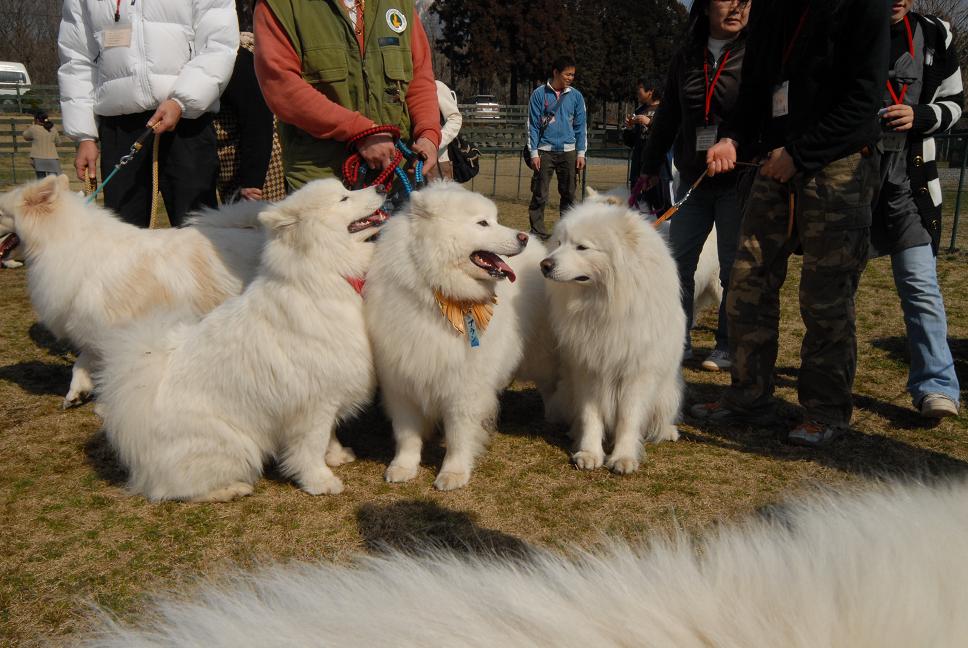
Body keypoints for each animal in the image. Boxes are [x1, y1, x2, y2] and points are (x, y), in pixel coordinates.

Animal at [94, 180, 386, 504]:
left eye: (347, 188)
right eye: (344, 198)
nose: (380, 185)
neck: (324, 277)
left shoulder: (331, 393)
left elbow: (330, 434)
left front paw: (336, 455)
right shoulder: (313, 405)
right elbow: (311, 447)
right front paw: (320, 481)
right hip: (234, 445)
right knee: (175, 490)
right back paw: (231, 489)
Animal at [366, 182, 556, 492]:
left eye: (495, 219)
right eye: (482, 223)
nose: (523, 236)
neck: (435, 296)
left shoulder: (463, 385)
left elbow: (459, 434)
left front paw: (453, 473)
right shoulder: (401, 380)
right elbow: (406, 434)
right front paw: (403, 467)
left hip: (540, 356)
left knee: (551, 384)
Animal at [540, 200, 684, 474]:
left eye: (582, 247)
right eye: (559, 243)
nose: (544, 264)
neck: (603, 303)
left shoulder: (636, 373)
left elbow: (628, 419)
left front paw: (623, 458)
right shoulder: (588, 368)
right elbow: (591, 416)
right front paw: (589, 453)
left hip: (666, 393)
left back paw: (667, 431)